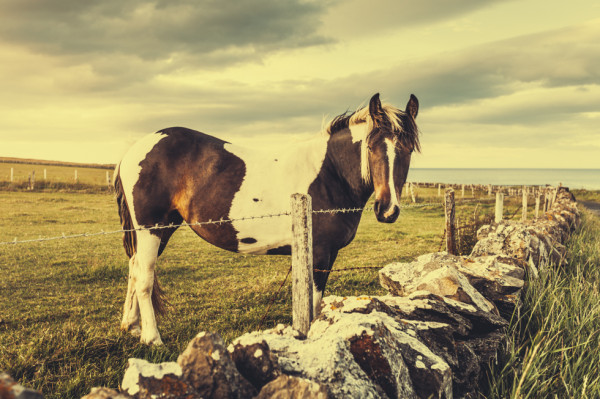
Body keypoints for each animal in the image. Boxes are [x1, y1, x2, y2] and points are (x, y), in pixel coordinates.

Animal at [115, 93, 420, 344]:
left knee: (134, 268)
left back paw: (131, 325)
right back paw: (152, 338)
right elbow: (312, 301)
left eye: (407, 150)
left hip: (164, 228)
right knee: (144, 277)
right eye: (371, 148)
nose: (388, 209)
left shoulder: (327, 254)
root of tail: (134, 150)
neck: (330, 173)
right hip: (151, 228)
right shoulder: (319, 253)